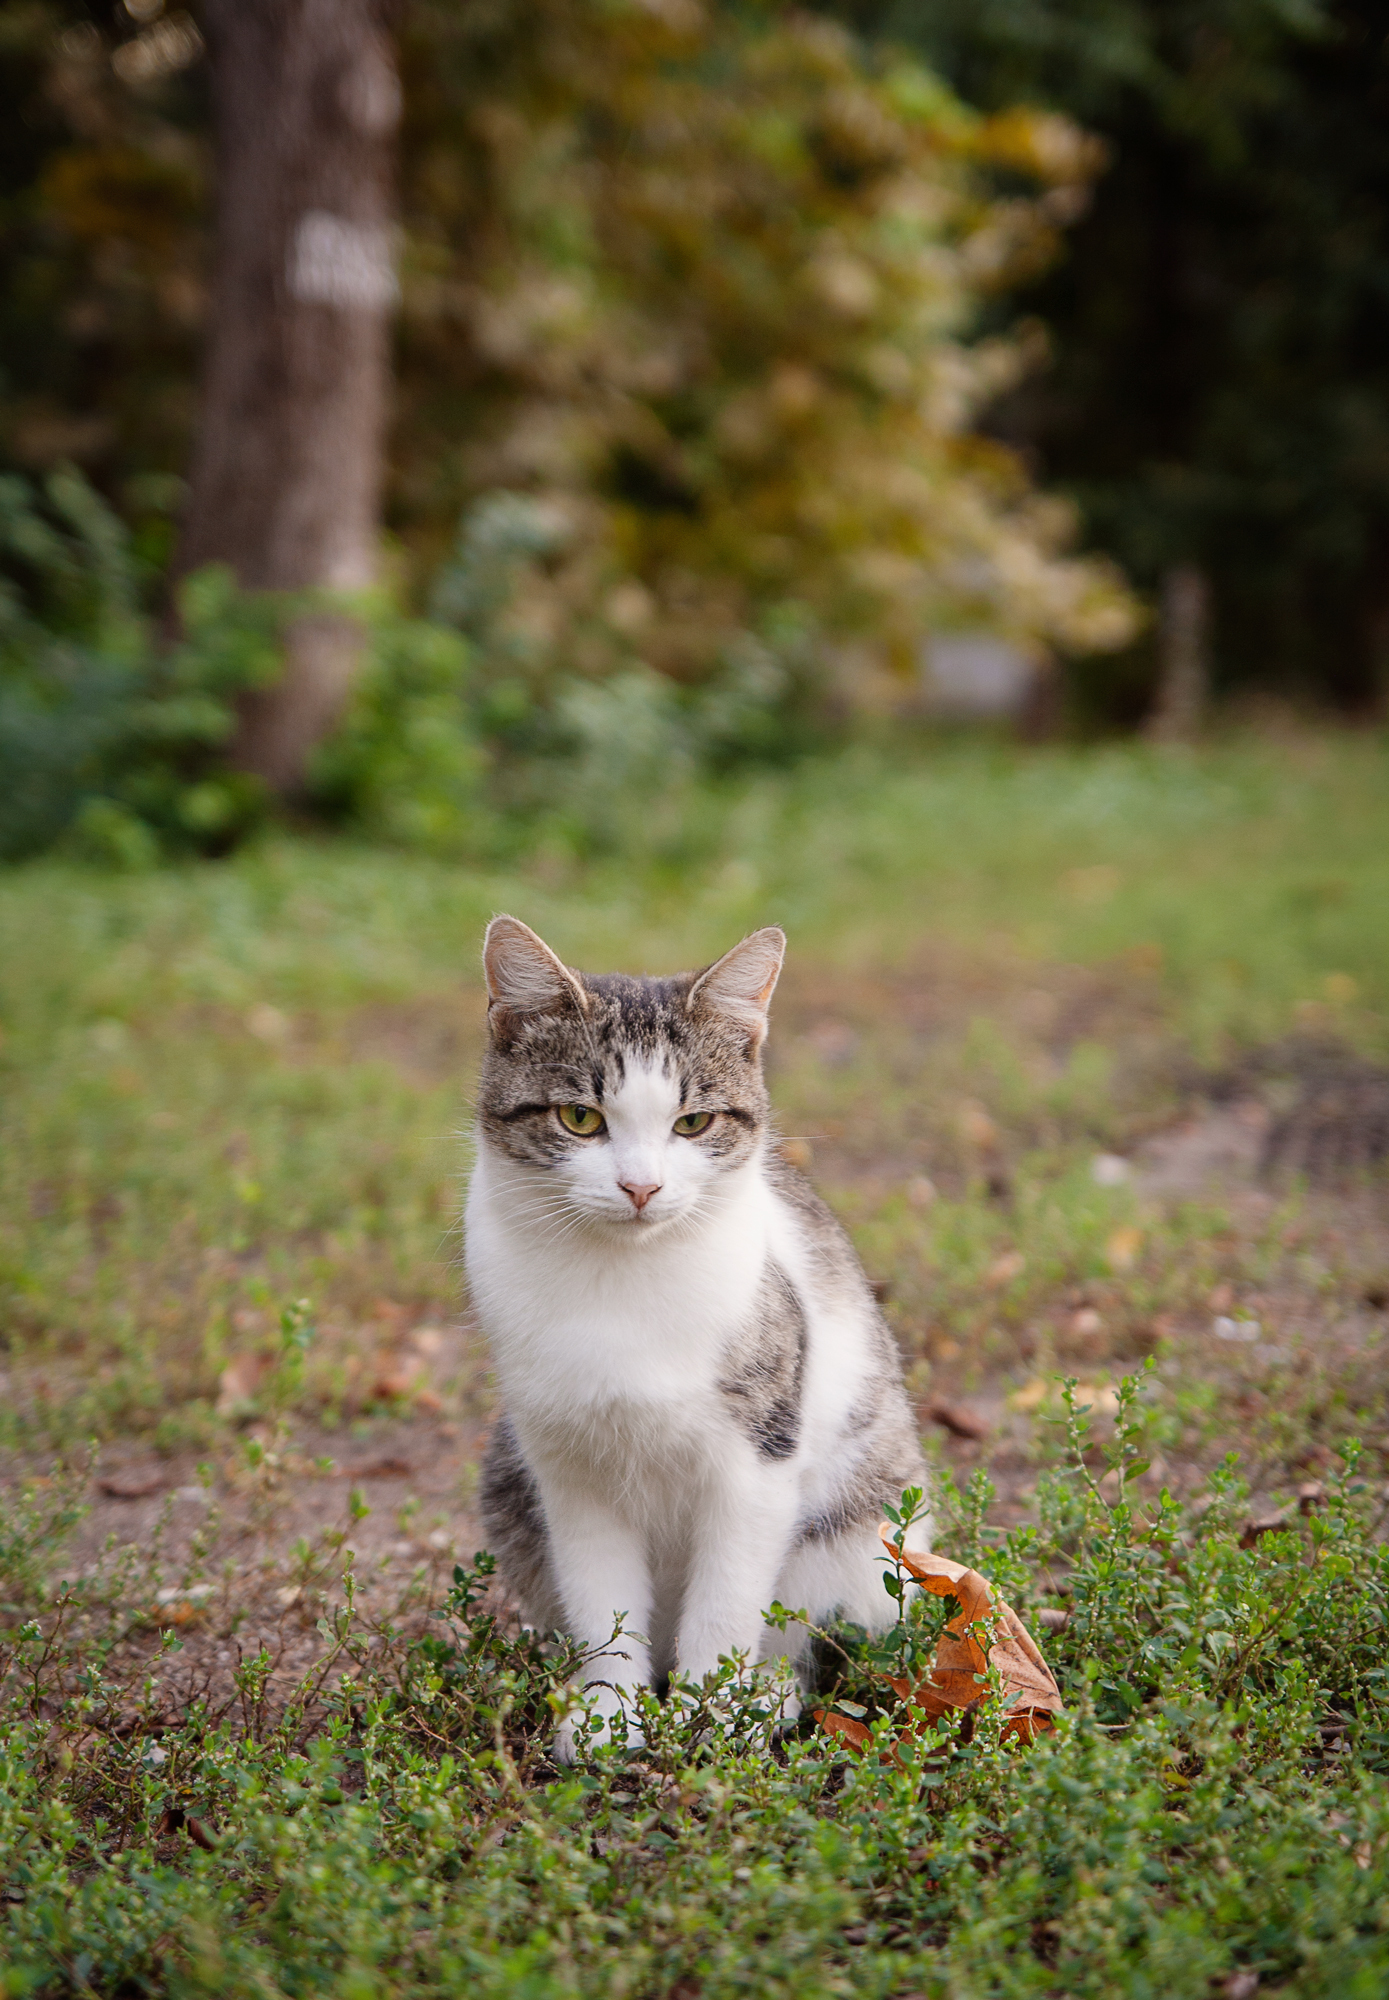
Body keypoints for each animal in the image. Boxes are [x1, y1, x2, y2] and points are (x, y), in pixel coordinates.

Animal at [468, 916, 936, 1760]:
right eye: (580, 1118)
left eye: (693, 1123)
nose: (641, 1187)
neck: (619, 1280)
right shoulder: (566, 1466)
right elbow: (601, 1598)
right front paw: (608, 1710)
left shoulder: (757, 1456)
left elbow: (727, 1600)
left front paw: (713, 1711)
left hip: (861, 1534)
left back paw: (769, 1694)